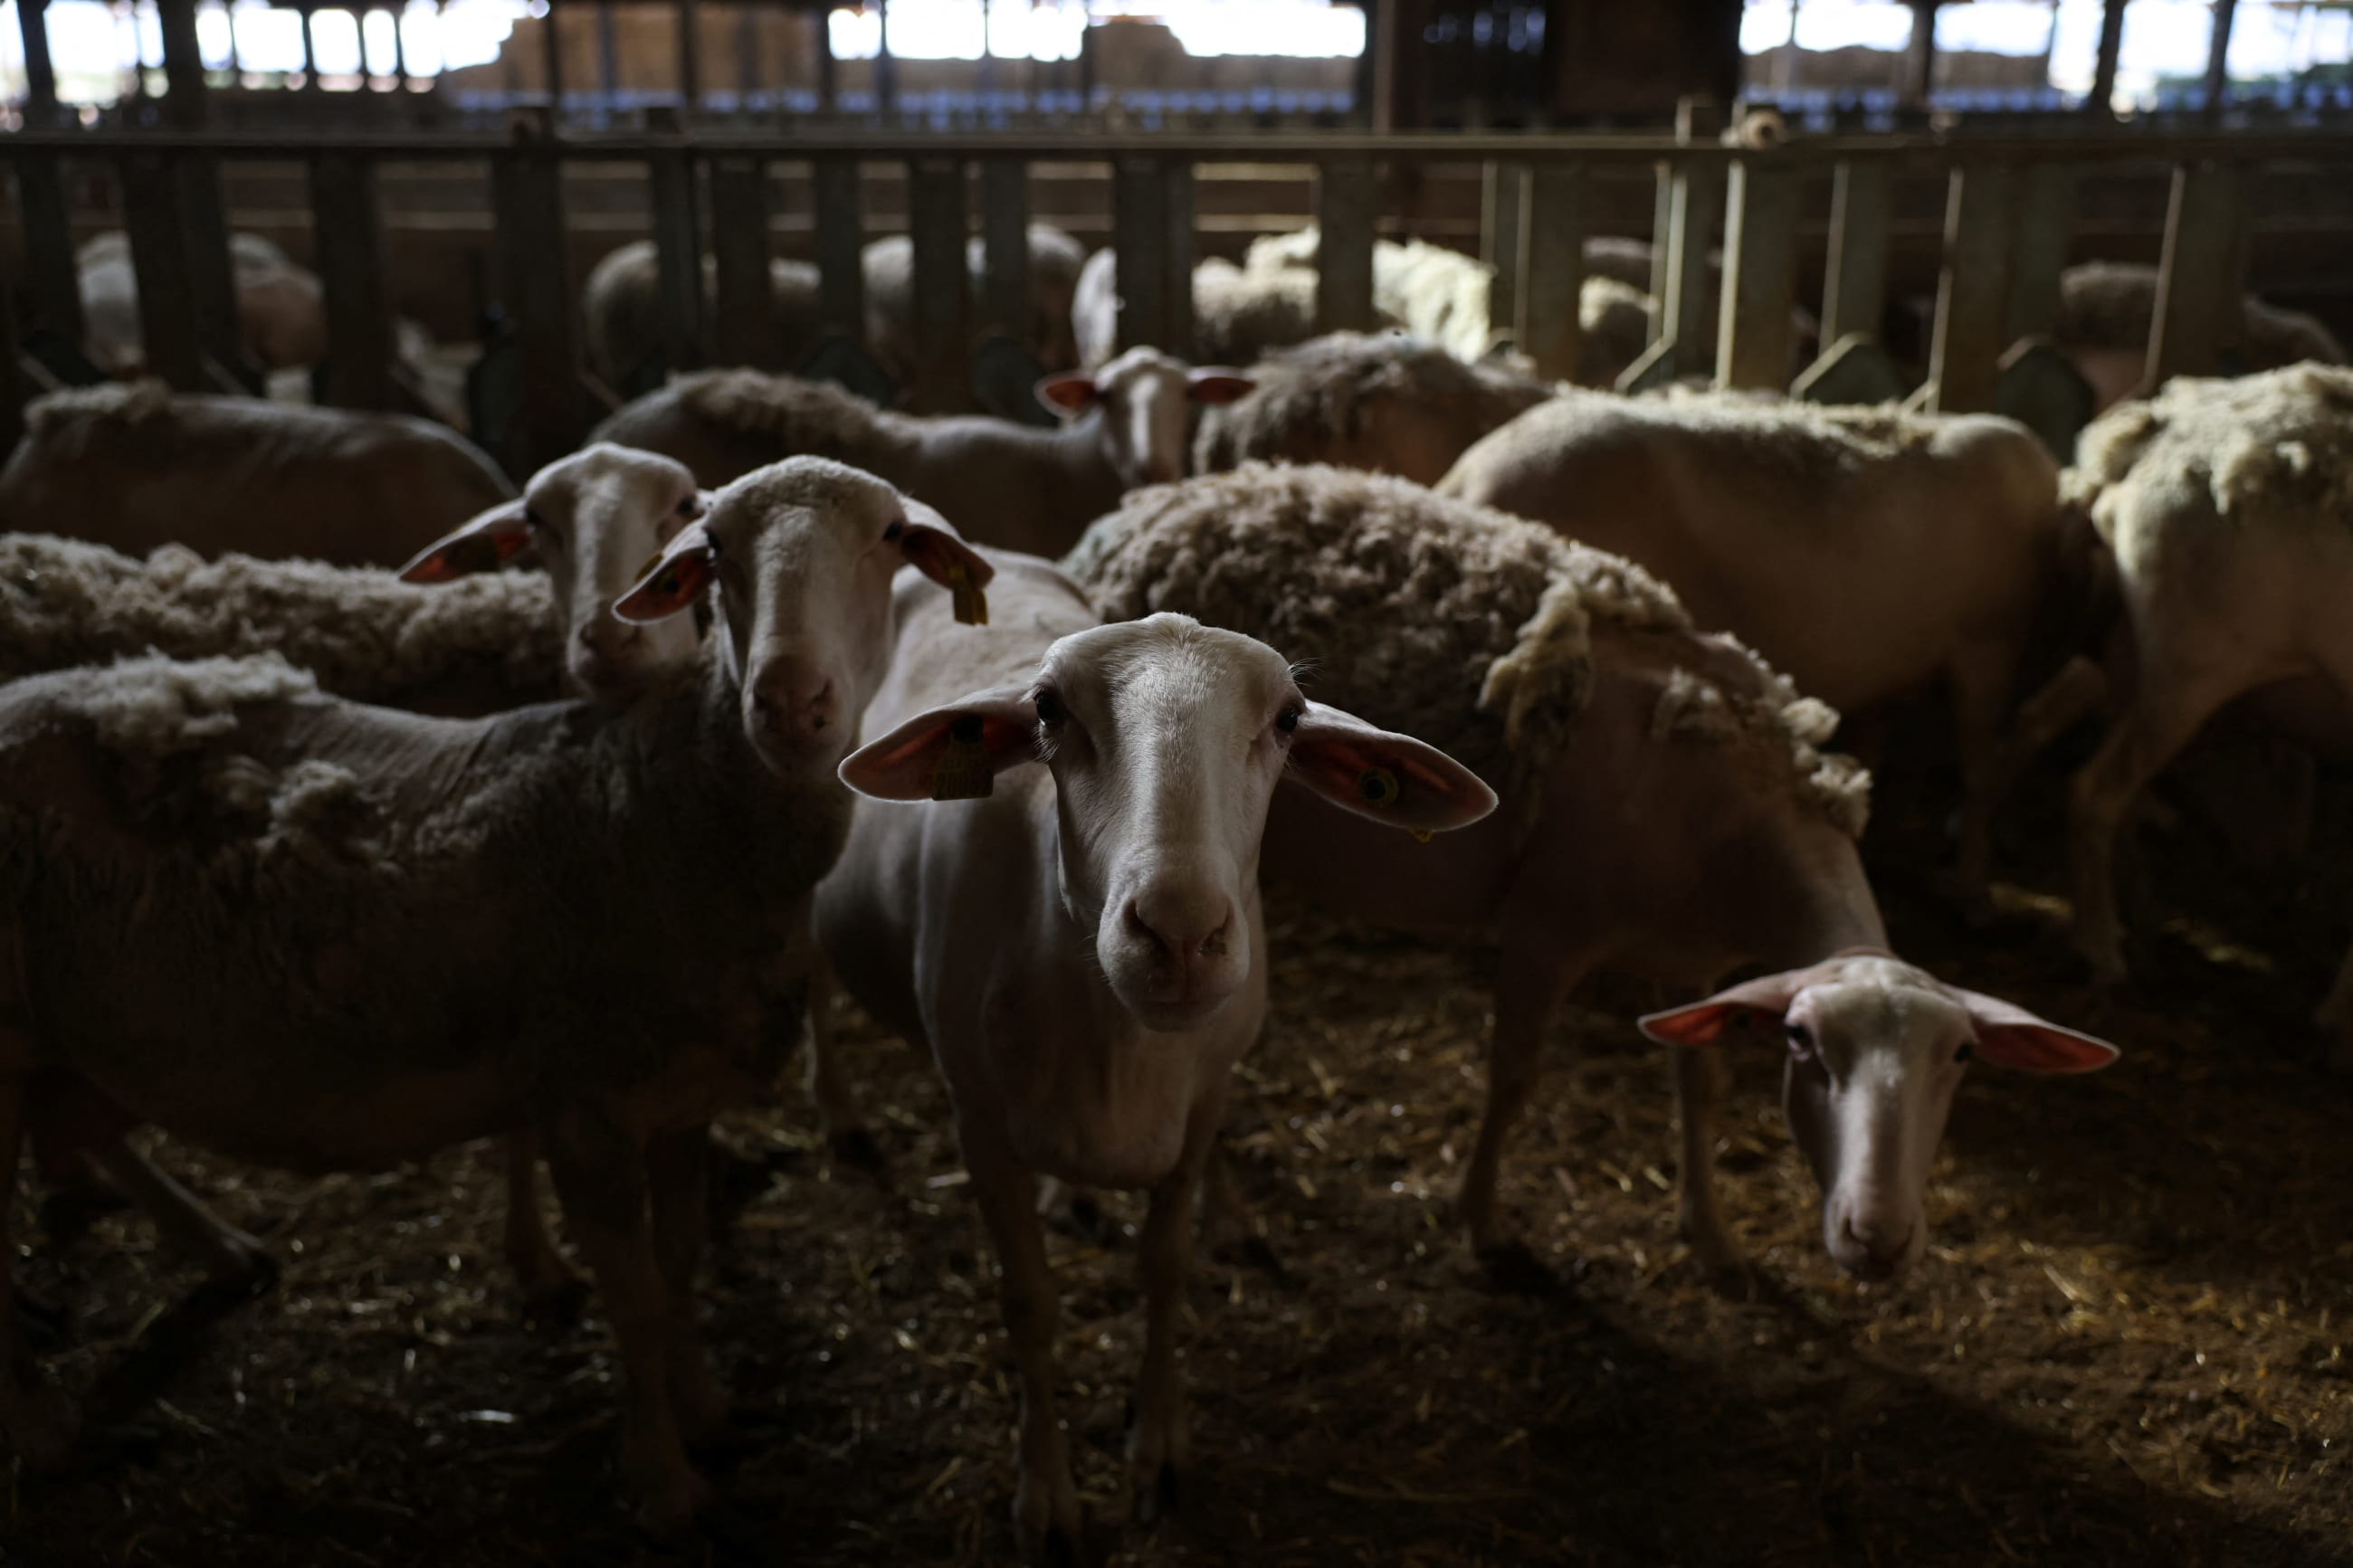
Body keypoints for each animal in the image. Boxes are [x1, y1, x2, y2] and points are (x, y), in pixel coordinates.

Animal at [0, 457, 994, 1528]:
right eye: (714, 545)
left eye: (889, 536)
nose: (789, 700)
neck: (648, 805)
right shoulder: (585, 1103)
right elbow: (636, 1296)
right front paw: (664, 1478)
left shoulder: (683, 1101)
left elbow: (681, 1262)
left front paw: (707, 1407)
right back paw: (49, 1429)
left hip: (77, 1032)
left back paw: (219, 1250)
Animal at [820, 546, 1494, 1562]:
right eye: (1048, 708)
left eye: (1287, 718)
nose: (1178, 933)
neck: (1119, 1041)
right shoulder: (976, 1121)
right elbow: (1029, 1302)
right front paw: (1047, 1491)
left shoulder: (1201, 1100)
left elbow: (1164, 1264)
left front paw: (1159, 1446)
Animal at [1066, 464, 2118, 1287]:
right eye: (1806, 1047)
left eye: (1961, 1057)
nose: (1879, 1239)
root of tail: (1144, 508)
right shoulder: (1546, 928)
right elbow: (1515, 1076)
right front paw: (1483, 1220)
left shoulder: (1693, 961)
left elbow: (1698, 1081)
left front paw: (1712, 1236)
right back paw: (1224, 1217)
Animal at [2059, 364, 2353, 1064]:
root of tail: (2159, 428)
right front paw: (2338, 1025)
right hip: (2194, 666)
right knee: (2095, 791)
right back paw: (2103, 952)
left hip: (2131, 651)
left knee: (2124, 798)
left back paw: (2140, 937)